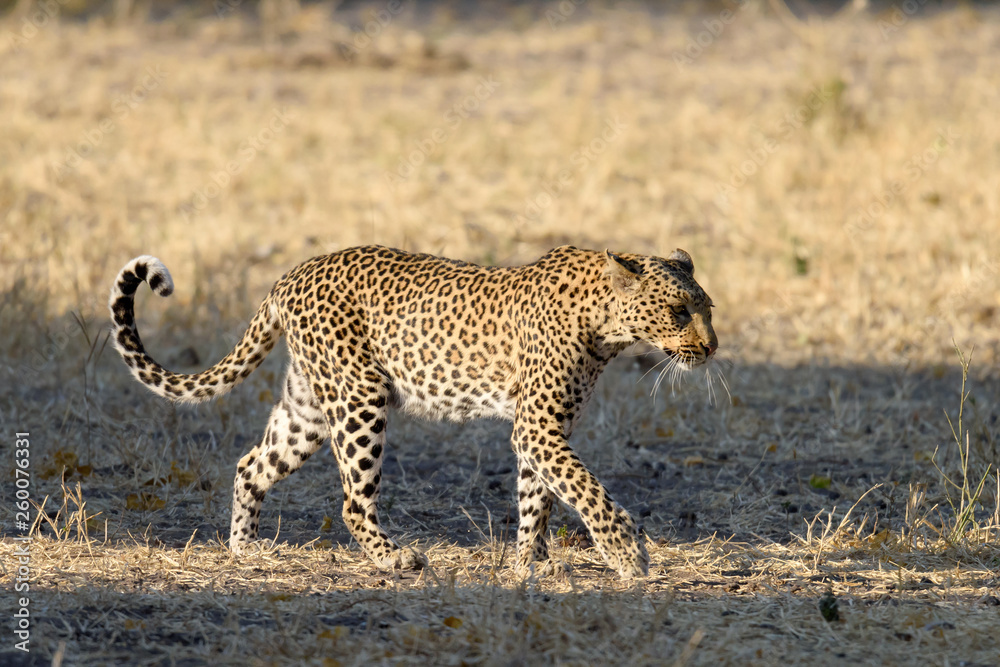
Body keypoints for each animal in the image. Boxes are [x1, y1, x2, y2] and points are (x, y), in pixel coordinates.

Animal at [109, 245, 718, 579]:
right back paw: (394, 559)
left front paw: (532, 562)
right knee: (353, 500)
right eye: (677, 310)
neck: (607, 326)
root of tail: (290, 275)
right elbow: (585, 488)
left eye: (707, 307)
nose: (712, 348)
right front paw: (628, 555)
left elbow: (538, 496)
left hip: (309, 408)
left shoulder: (542, 428)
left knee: (251, 465)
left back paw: (245, 551)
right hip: (360, 400)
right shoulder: (539, 426)